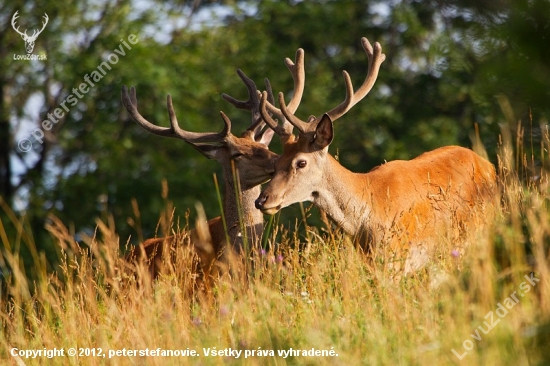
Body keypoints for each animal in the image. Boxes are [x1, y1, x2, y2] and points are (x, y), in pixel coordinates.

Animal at [258, 38, 500, 274]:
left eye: (301, 162)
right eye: (275, 163)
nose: (262, 200)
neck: (366, 216)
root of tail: (489, 166)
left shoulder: (396, 257)